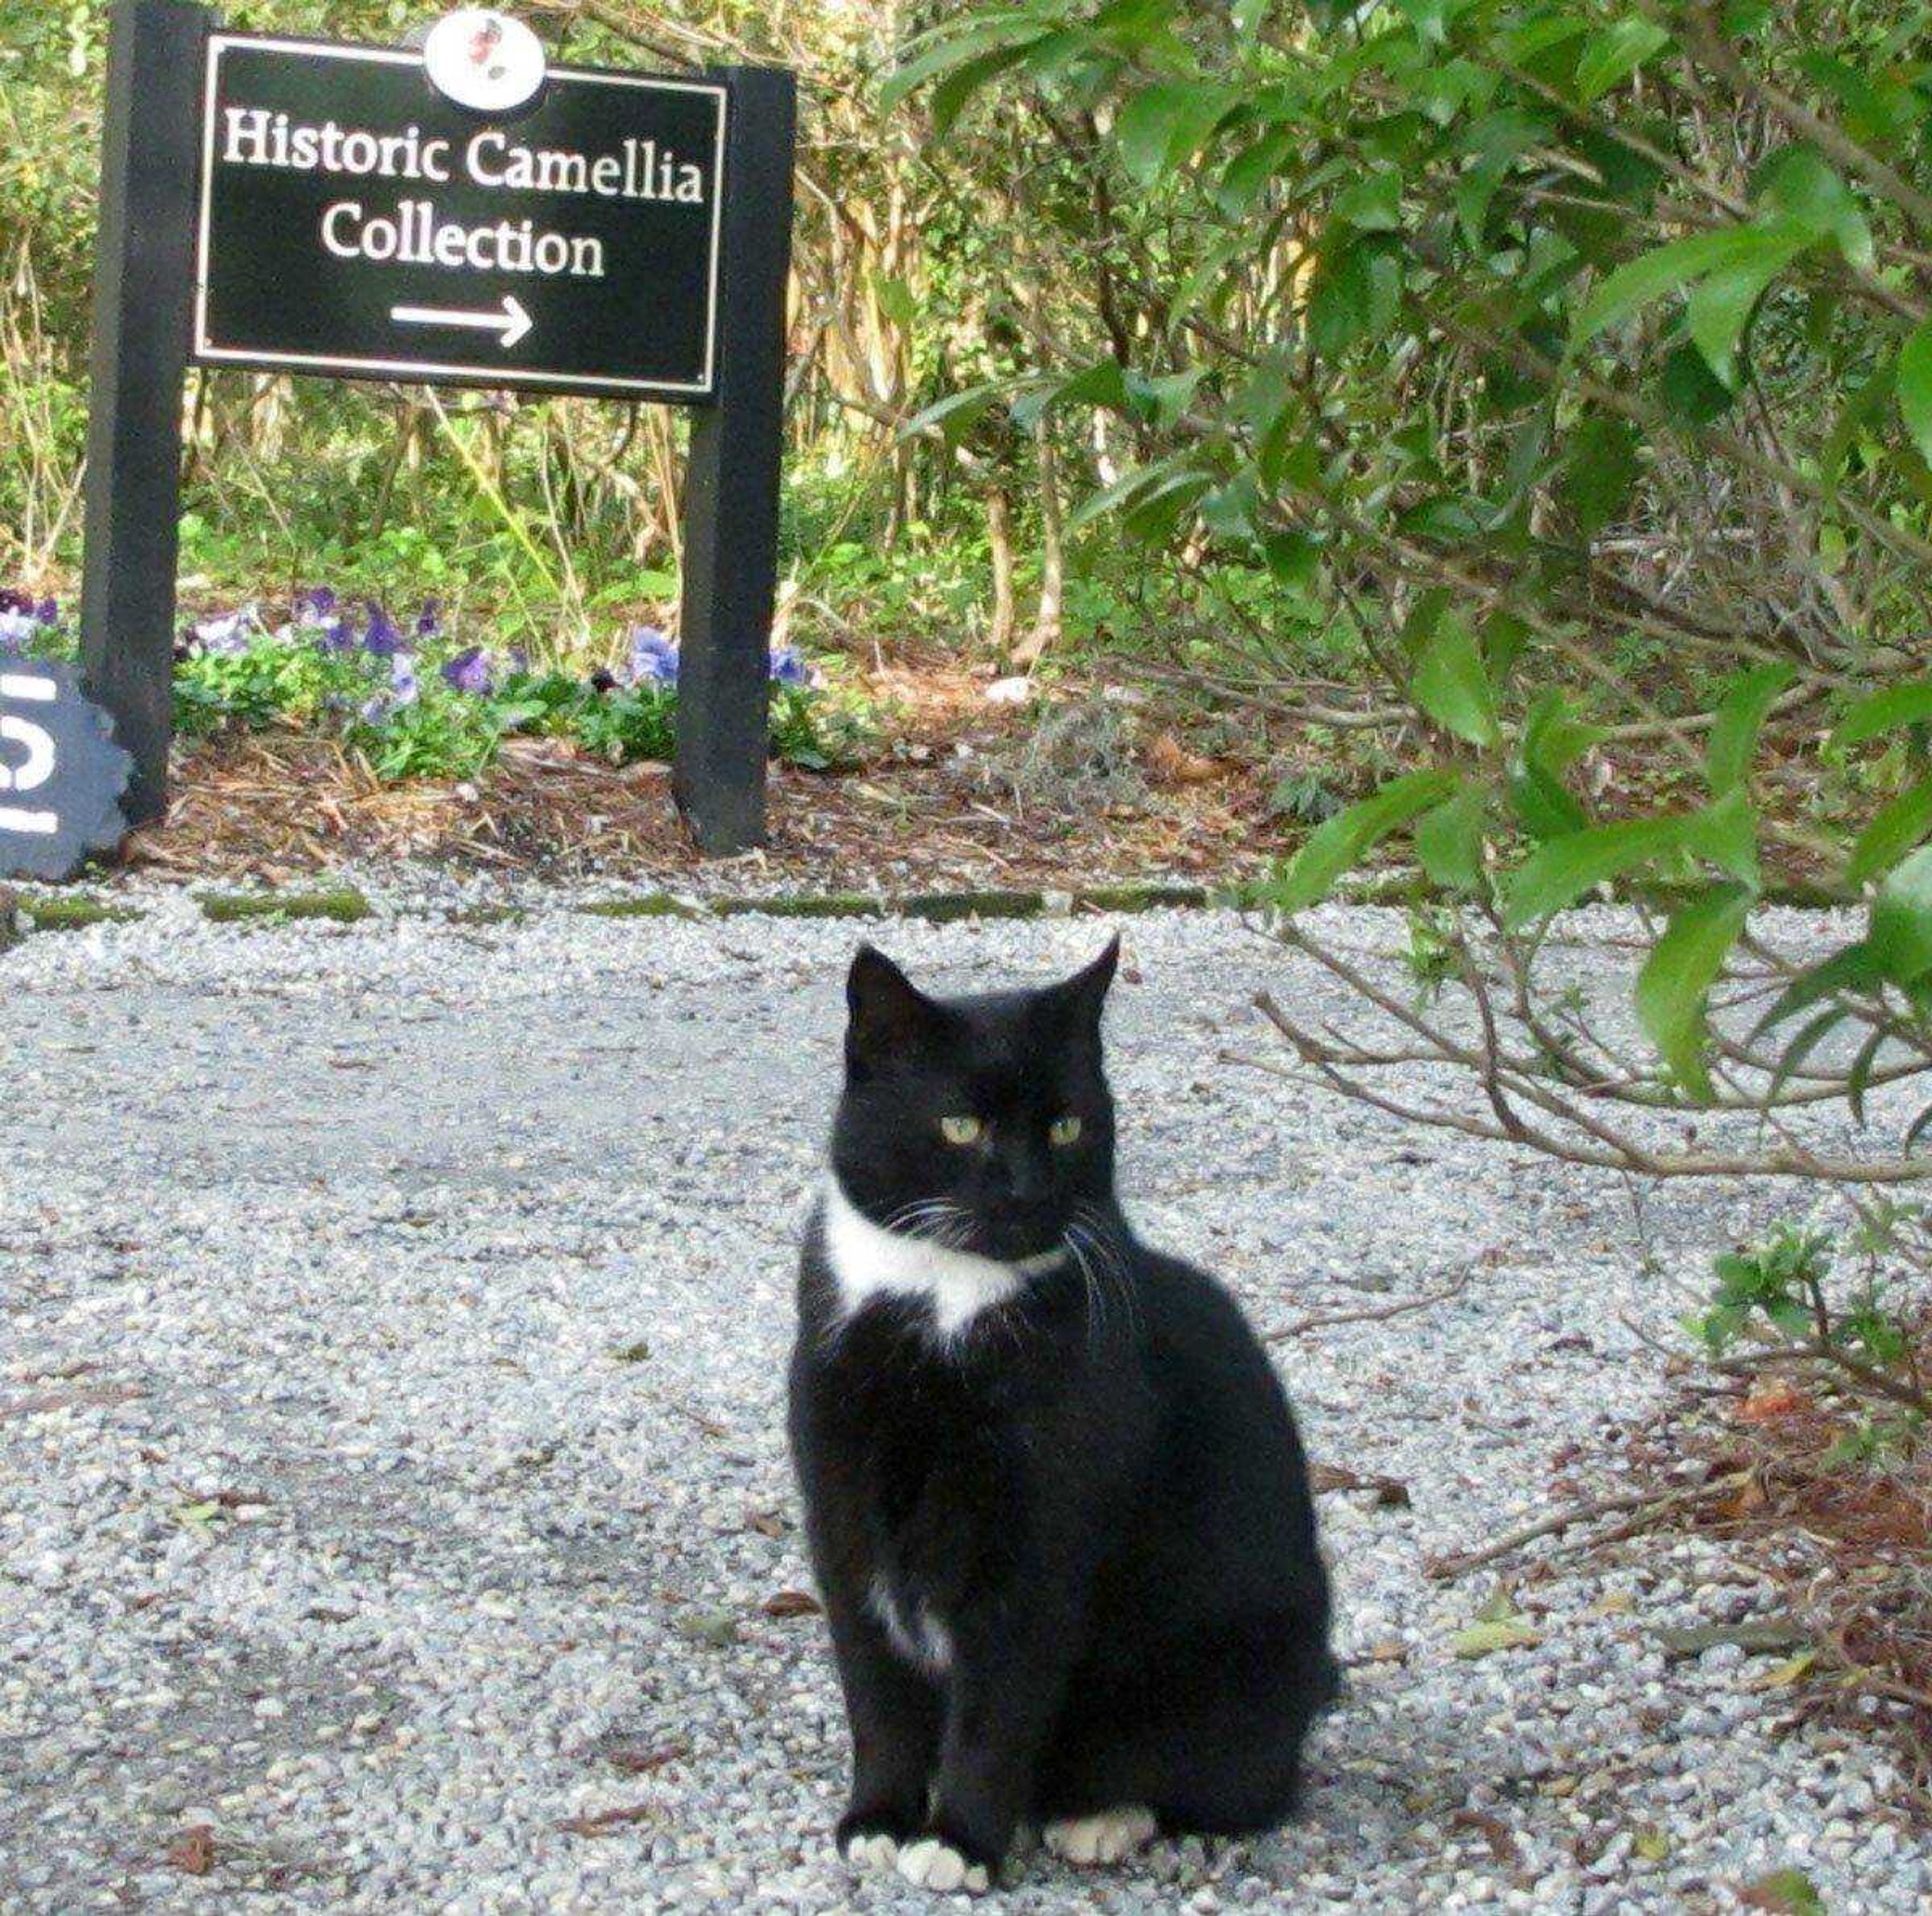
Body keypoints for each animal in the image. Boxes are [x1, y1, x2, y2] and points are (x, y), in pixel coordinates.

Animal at [784, 934, 1329, 1892]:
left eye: (1068, 1126)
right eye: (961, 1127)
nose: (1026, 1190)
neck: (943, 1307)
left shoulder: (1041, 1541)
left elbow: (998, 1707)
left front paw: (959, 1842)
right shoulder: (842, 1515)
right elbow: (874, 1687)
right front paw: (879, 1818)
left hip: (1241, 1671)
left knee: (1239, 1786)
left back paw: (1101, 1817)